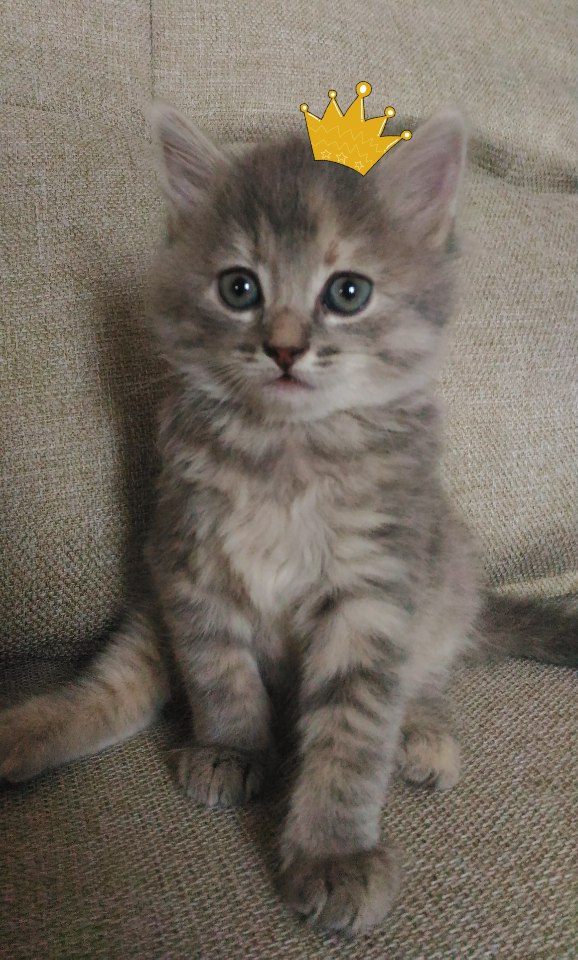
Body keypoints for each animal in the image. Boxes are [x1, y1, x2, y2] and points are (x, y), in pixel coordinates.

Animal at [1, 103, 576, 936]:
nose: (282, 349)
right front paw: (236, 749)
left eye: (348, 292)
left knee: (429, 676)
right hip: (148, 610)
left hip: (444, 581)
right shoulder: (186, 568)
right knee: (108, 688)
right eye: (239, 287)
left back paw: (425, 735)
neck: (285, 454)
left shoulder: (373, 593)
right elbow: (221, 674)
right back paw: (22, 734)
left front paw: (335, 854)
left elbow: (352, 731)